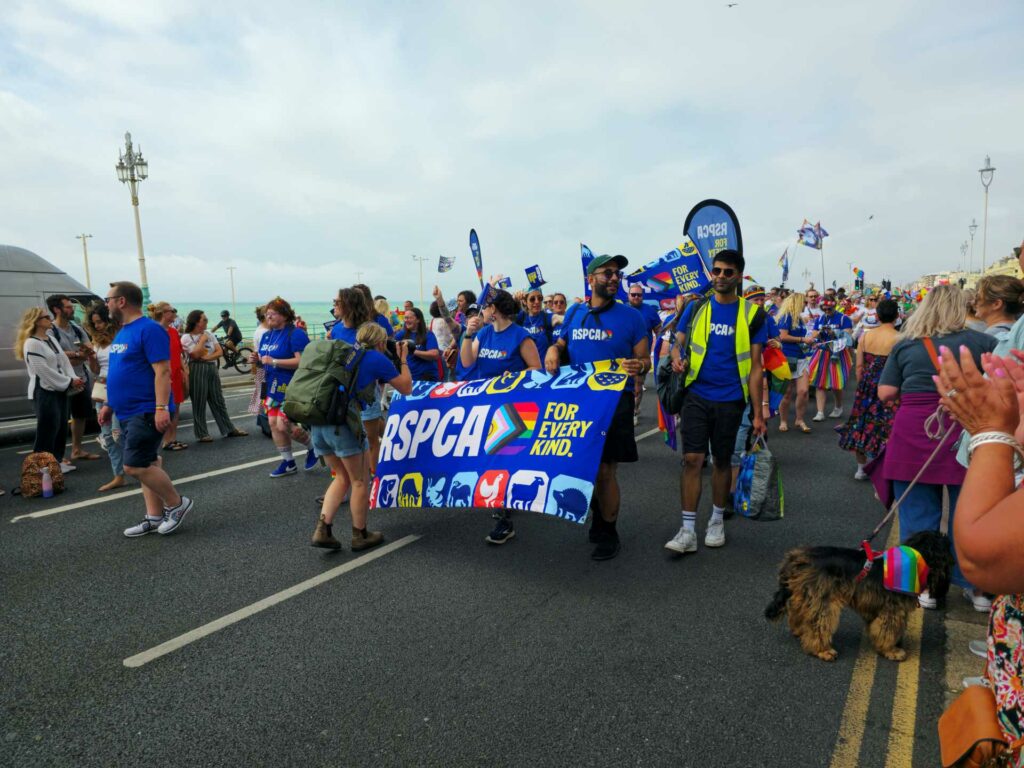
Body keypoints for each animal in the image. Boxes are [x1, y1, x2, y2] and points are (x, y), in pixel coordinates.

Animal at [765, 532, 954, 663]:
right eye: (946, 554)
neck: (913, 561)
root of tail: (799, 557)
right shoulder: (891, 610)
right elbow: (888, 631)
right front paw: (891, 650)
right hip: (823, 599)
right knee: (818, 624)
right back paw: (822, 650)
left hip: (807, 594)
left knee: (798, 611)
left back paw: (799, 631)